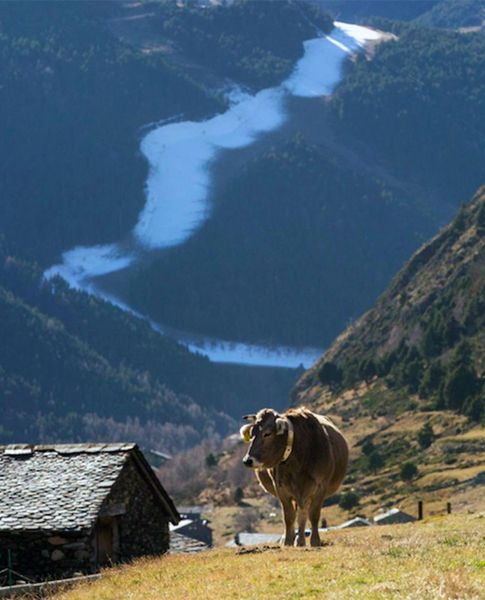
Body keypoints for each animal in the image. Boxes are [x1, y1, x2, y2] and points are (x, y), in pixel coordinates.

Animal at [239, 408, 346, 548]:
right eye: (251, 434)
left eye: (267, 434)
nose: (247, 460)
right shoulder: (281, 488)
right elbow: (288, 516)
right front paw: (287, 541)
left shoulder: (320, 487)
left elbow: (313, 515)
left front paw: (315, 541)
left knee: (303, 514)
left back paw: (300, 540)